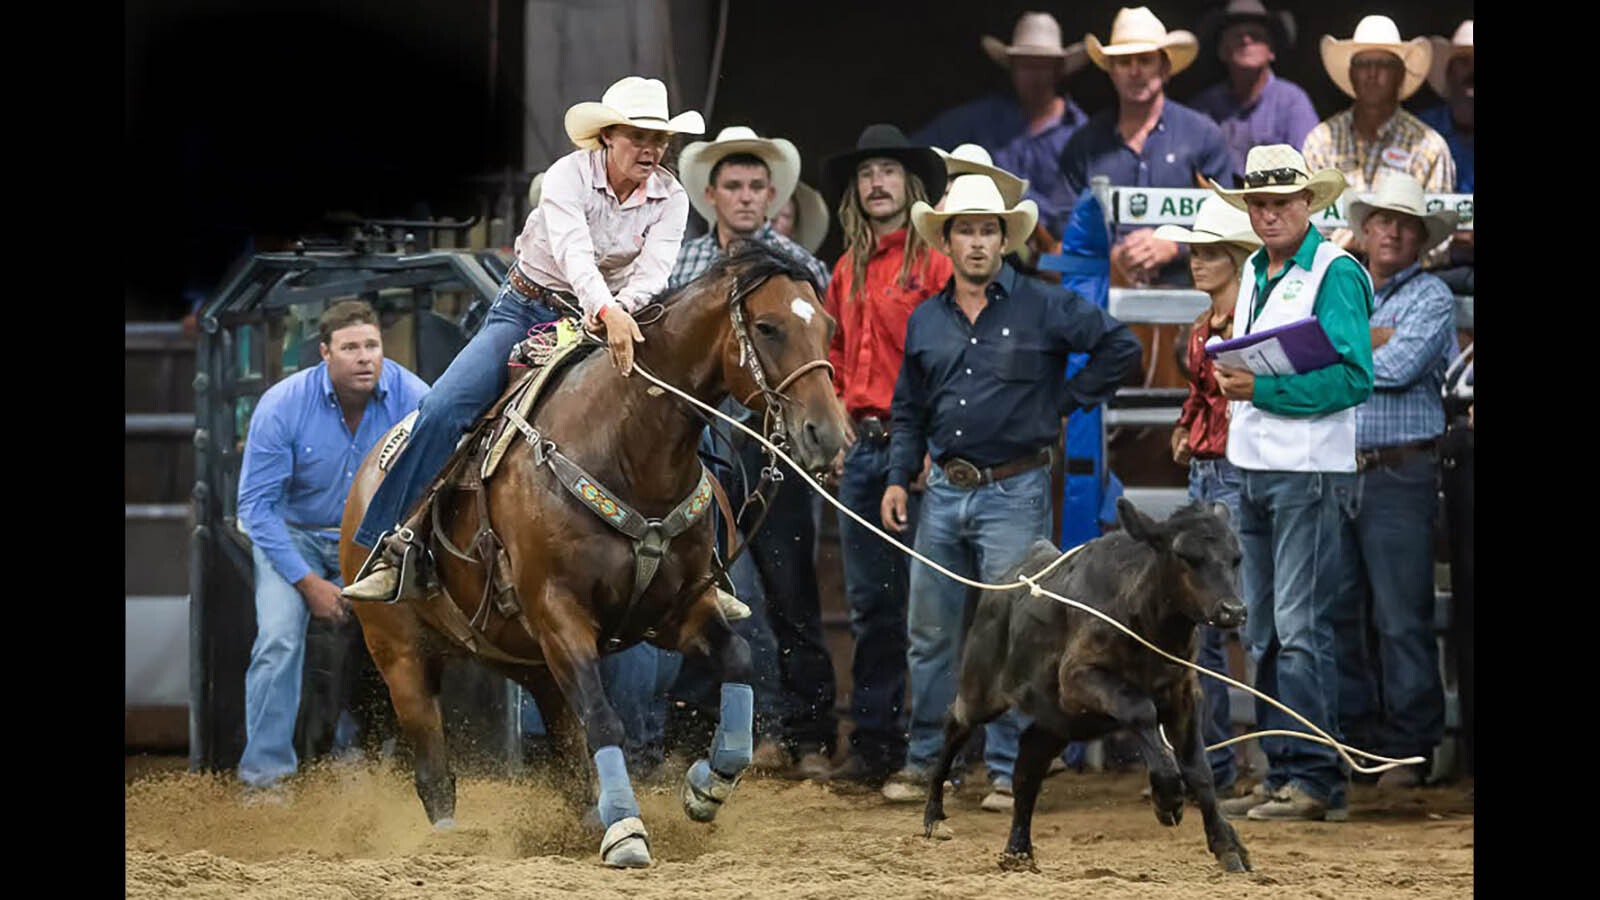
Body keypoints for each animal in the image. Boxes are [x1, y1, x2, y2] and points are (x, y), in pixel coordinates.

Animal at [337, 241, 851, 864]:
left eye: (827, 326)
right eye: (769, 327)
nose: (827, 435)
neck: (624, 444)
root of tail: (370, 468)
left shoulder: (676, 609)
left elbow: (738, 660)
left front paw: (707, 786)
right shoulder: (559, 611)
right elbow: (606, 719)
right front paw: (627, 831)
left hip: (530, 660)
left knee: (565, 745)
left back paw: (589, 814)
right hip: (400, 654)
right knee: (435, 770)